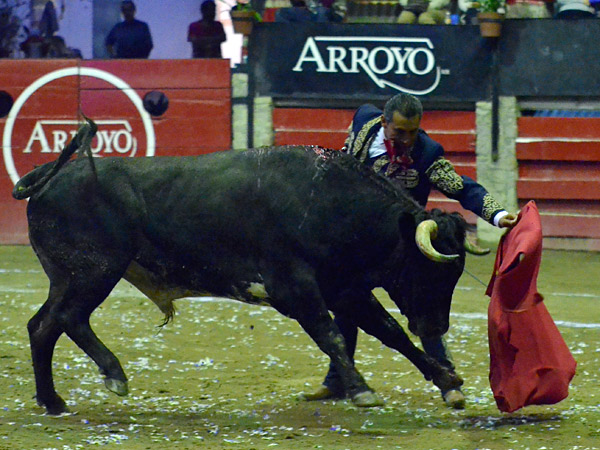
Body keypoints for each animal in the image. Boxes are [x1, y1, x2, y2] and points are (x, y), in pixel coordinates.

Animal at [13, 118, 468, 415]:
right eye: (430, 270)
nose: (437, 327)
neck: (327, 201)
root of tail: (51, 175)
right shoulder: (295, 288)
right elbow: (332, 336)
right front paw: (361, 390)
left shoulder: (345, 288)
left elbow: (390, 332)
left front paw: (447, 380)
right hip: (95, 271)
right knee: (69, 319)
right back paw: (113, 375)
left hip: (68, 277)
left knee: (42, 326)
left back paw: (52, 401)